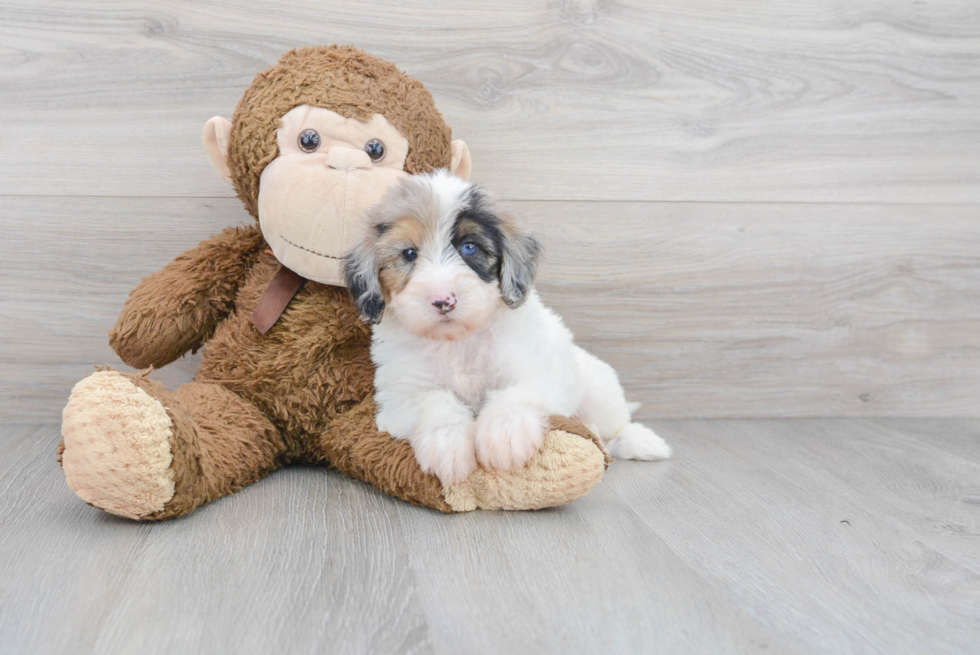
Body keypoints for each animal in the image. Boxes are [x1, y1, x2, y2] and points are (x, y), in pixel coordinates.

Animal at [346, 170, 672, 486]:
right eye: (409, 254)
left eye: (469, 247)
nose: (443, 301)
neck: (459, 341)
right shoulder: (398, 399)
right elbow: (434, 401)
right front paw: (448, 444)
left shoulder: (542, 374)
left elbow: (516, 394)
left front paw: (504, 435)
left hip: (598, 388)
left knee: (614, 426)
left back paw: (640, 441)